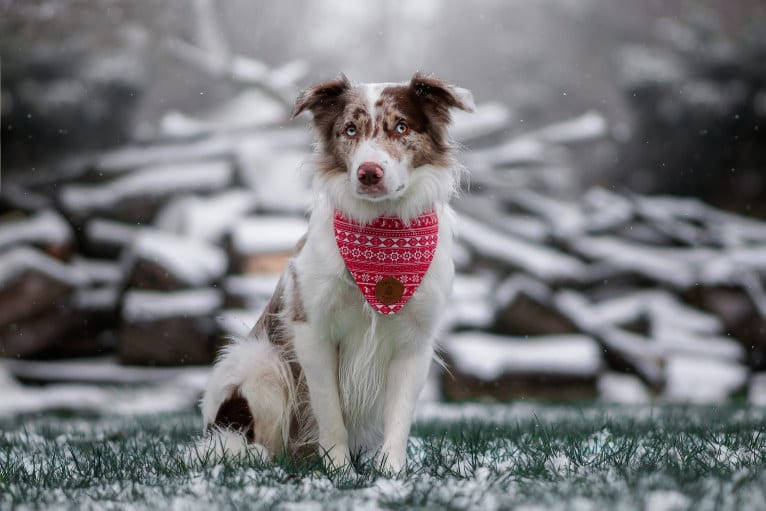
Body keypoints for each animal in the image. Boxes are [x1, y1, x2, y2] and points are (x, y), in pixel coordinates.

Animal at [198, 73, 474, 476]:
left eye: (401, 127)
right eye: (350, 130)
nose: (369, 173)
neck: (382, 231)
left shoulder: (415, 340)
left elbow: (399, 415)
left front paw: (391, 472)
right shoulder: (313, 331)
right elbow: (330, 412)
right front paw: (339, 470)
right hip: (260, 360)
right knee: (245, 440)